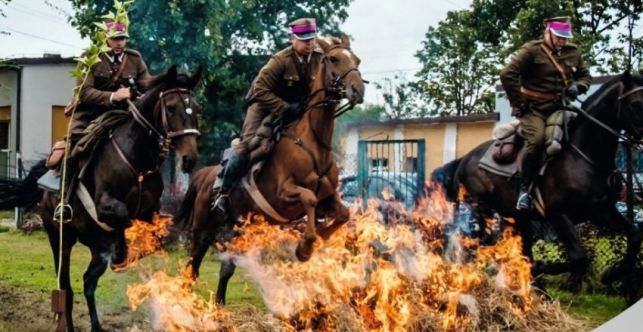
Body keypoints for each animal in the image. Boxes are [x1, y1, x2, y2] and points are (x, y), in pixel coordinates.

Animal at [0, 65, 201, 332]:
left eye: (196, 108)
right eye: (170, 107)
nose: (189, 158)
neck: (136, 160)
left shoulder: (151, 212)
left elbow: (158, 237)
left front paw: (130, 254)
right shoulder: (105, 205)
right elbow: (123, 215)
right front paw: (123, 253)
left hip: (95, 247)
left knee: (88, 282)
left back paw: (96, 323)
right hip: (60, 238)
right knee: (66, 288)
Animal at [175, 35, 368, 304]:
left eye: (357, 60)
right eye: (333, 58)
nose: (357, 90)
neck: (312, 144)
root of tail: (203, 175)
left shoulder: (328, 199)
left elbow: (343, 214)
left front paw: (321, 234)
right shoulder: (284, 195)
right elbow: (308, 198)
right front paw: (305, 248)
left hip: (238, 229)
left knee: (225, 267)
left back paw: (219, 302)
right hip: (202, 229)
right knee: (192, 266)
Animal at [432, 72, 643, 304]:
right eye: (636, 103)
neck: (584, 156)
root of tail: (464, 159)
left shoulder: (601, 211)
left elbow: (634, 236)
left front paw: (611, 274)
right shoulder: (557, 214)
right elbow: (579, 258)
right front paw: (542, 269)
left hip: (516, 217)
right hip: (482, 211)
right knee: (476, 243)